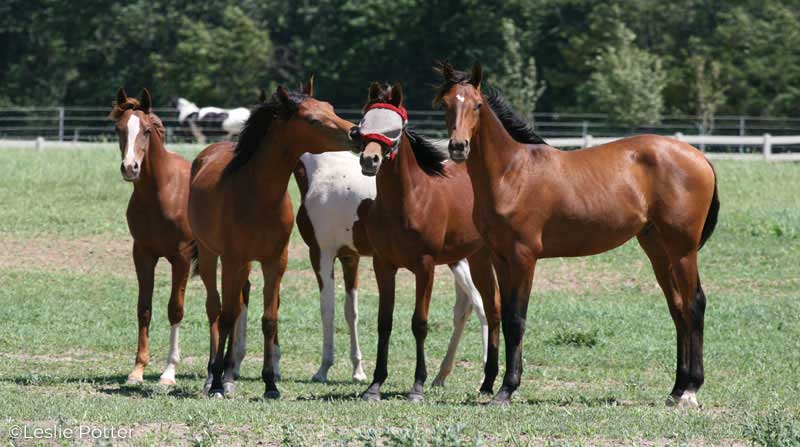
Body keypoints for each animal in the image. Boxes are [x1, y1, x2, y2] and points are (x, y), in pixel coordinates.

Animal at [108, 88, 196, 388]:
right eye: (119, 129)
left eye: (146, 131)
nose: (130, 168)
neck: (162, 191)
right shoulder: (143, 254)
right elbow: (143, 309)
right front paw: (137, 370)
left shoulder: (181, 257)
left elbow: (176, 309)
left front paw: (169, 372)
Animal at [352, 81, 500, 402]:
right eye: (363, 125)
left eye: (395, 129)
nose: (370, 160)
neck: (407, 202)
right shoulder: (383, 265)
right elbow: (384, 323)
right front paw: (375, 385)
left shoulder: (425, 266)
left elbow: (419, 323)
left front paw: (417, 386)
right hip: (477, 259)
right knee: (487, 307)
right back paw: (478, 380)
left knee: (491, 307)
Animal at [434, 63, 720, 410]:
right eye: (446, 104)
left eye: (477, 105)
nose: (457, 147)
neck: (511, 173)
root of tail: (699, 157)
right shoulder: (500, 258)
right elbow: (502, 312)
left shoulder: (524, 257)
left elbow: (517, 318)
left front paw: (506, 389)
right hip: (657, 249)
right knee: (678, 308)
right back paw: (677, 389)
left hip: (682, 250)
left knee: (694, 305)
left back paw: (691, 390)